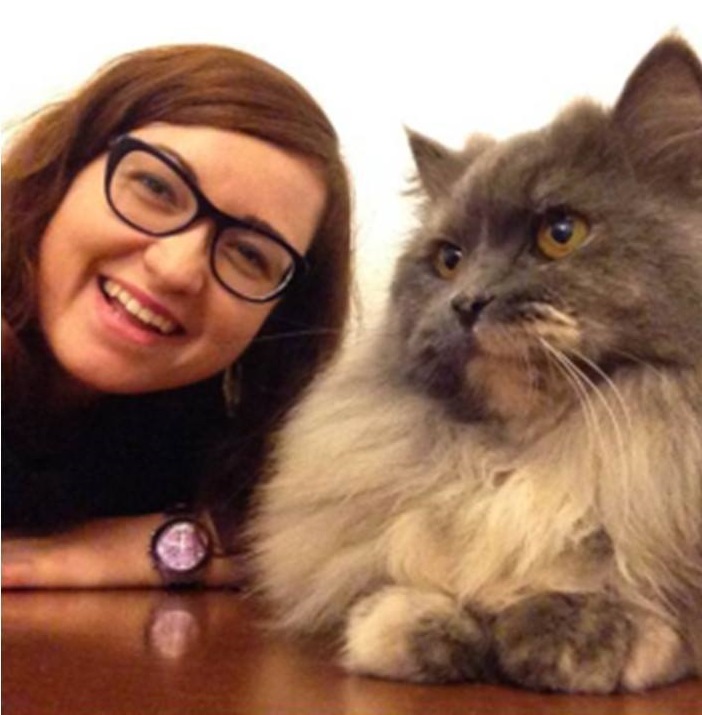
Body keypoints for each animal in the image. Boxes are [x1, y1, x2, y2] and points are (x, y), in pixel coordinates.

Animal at [249, 36, 702, 694]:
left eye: (561, 233)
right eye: (449, 260)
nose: (467, 303)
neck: (529, 453)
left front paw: (572, 632)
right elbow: (400, 586)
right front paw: (425, 628)